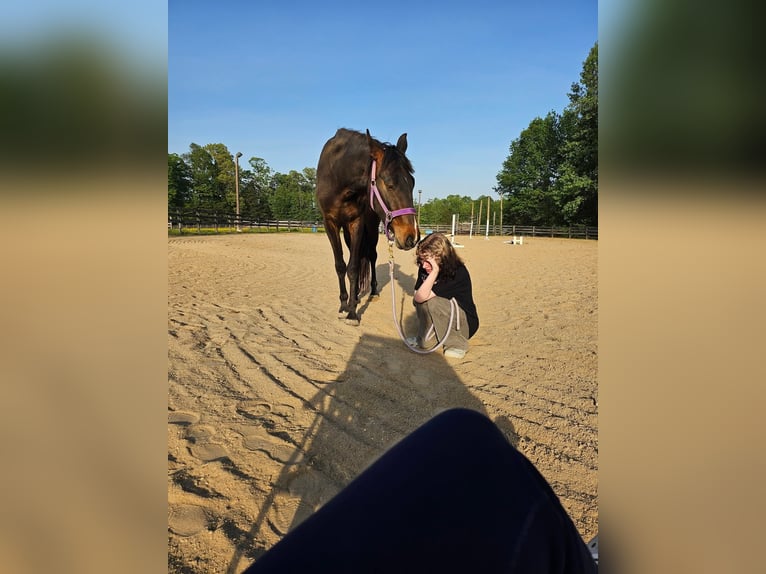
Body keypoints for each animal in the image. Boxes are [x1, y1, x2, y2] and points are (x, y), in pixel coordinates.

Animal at [316, 128, 419, 325]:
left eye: (412, 182)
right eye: (389, 183)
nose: (411, 237)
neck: (338, 175)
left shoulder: (357, 221)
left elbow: (354, 267)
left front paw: (352, 312)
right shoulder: (330, 223)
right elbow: (341, 266)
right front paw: (344, 306)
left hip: (370, 229)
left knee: (371, 255)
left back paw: (371, 292)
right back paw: (355, 297)